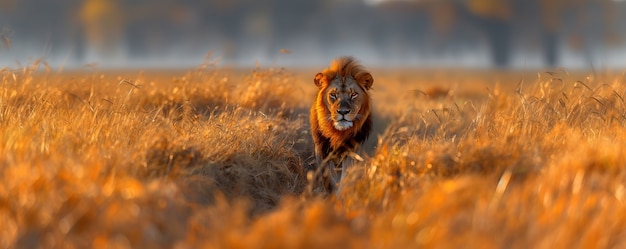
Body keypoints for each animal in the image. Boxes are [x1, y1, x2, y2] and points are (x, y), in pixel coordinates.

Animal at [306, 56, 370, 193]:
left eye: (353, 94)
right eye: (333, 94)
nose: (343, 112)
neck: (337, 133)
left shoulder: (352, 150)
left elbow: (346, 175)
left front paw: (341, 193)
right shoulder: (321, 150)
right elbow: (327, 177)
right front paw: (331, 192)